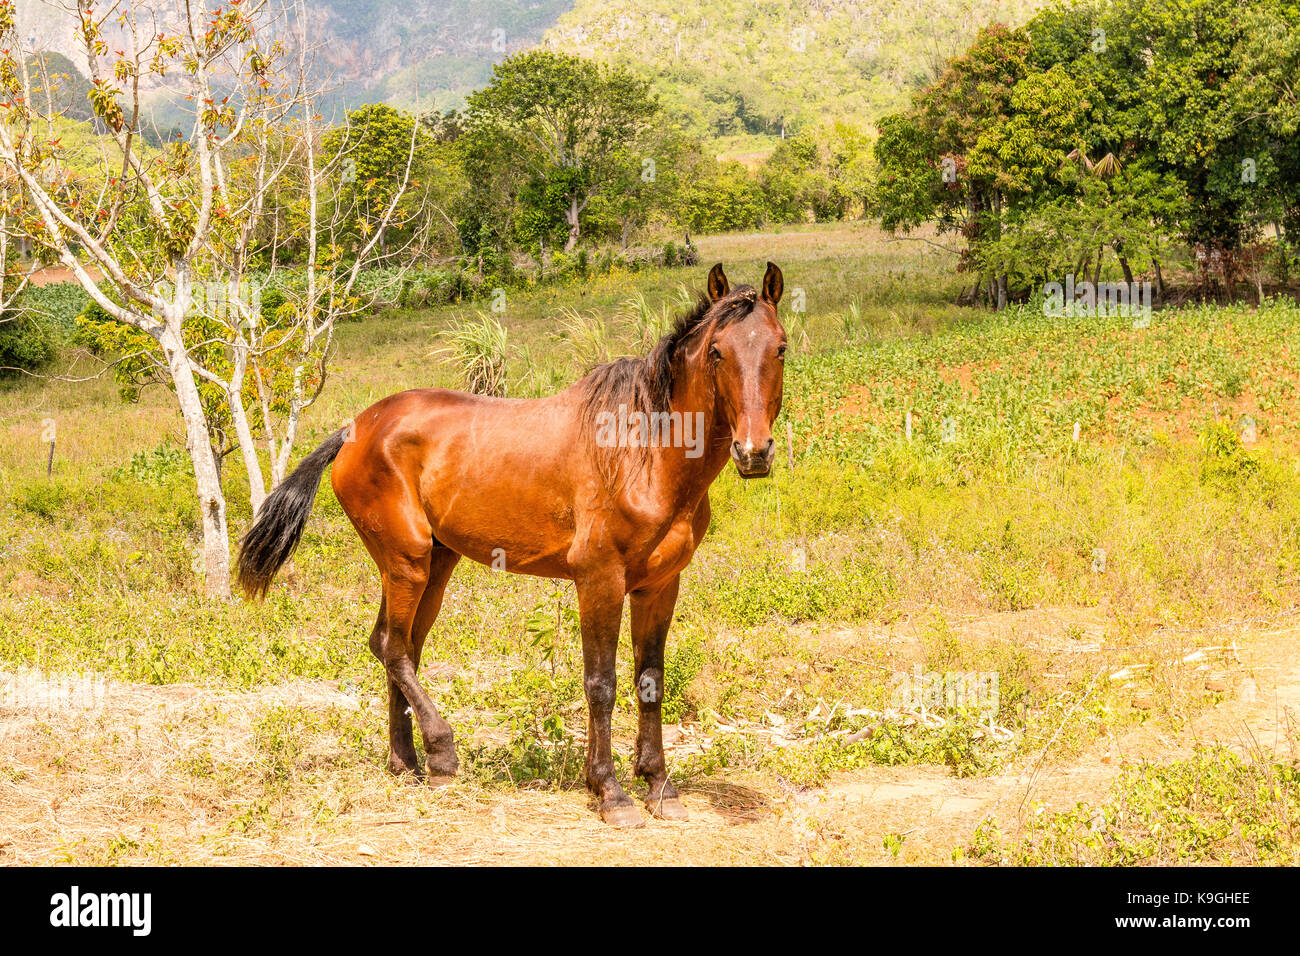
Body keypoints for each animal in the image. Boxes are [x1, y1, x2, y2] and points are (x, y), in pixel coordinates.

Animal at [239, 260, 785, 822]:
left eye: (780, 348)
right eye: (718, 351)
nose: (754, 452)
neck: (645, 451)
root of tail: (356, 428)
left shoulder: (659, 586)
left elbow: (649, 681)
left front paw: (658, 785)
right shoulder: (599, 581)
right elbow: (602, 684)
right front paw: (609, 791)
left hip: (434, 565)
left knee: (401, 647)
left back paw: (407, 763)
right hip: (406, 561)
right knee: (393, 647)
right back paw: (442, 751)